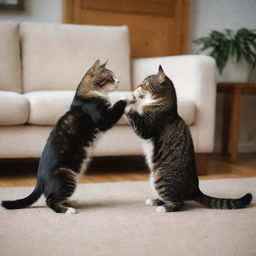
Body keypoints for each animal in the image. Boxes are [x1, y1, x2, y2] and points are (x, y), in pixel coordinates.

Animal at [1, 60, 126, 214]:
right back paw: (68, 210)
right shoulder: (102, 118)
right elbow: (116, 108)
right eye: (110, 77)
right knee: (50, 200)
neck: (88, 93)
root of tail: (39, 179)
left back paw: (69, 202)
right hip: (67, 176)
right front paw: (130, 96)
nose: (119, 81)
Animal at [125, 65, 253, 212]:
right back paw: (155, 201)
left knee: (178, 203)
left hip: (161, 178)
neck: (162, 103)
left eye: (145, 83)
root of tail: (195, 189)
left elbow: (136, 117)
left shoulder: (147, 127)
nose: (137, 86)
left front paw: (128, 99)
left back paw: (163, 208)